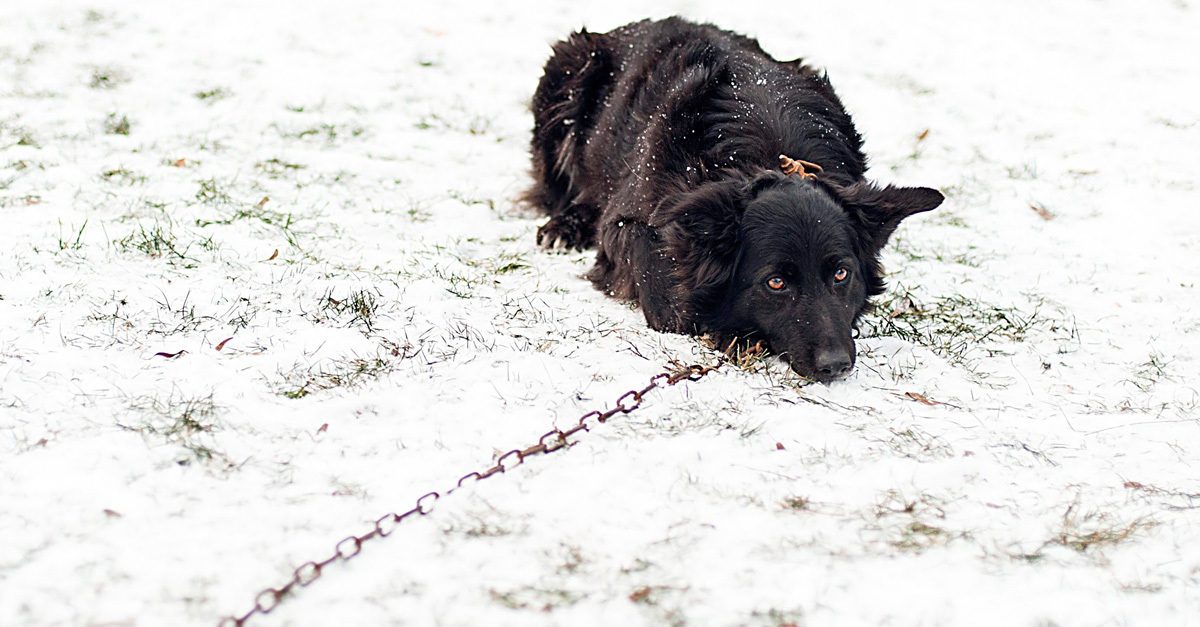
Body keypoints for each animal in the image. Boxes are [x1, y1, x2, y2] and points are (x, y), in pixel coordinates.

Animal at [525, 17, 943, 382]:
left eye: (842, 274)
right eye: (776, 283)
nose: (836, 365)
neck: (769, 153)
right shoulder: (624, 223)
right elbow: (665, 296)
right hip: (568, 75)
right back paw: (565, 225)